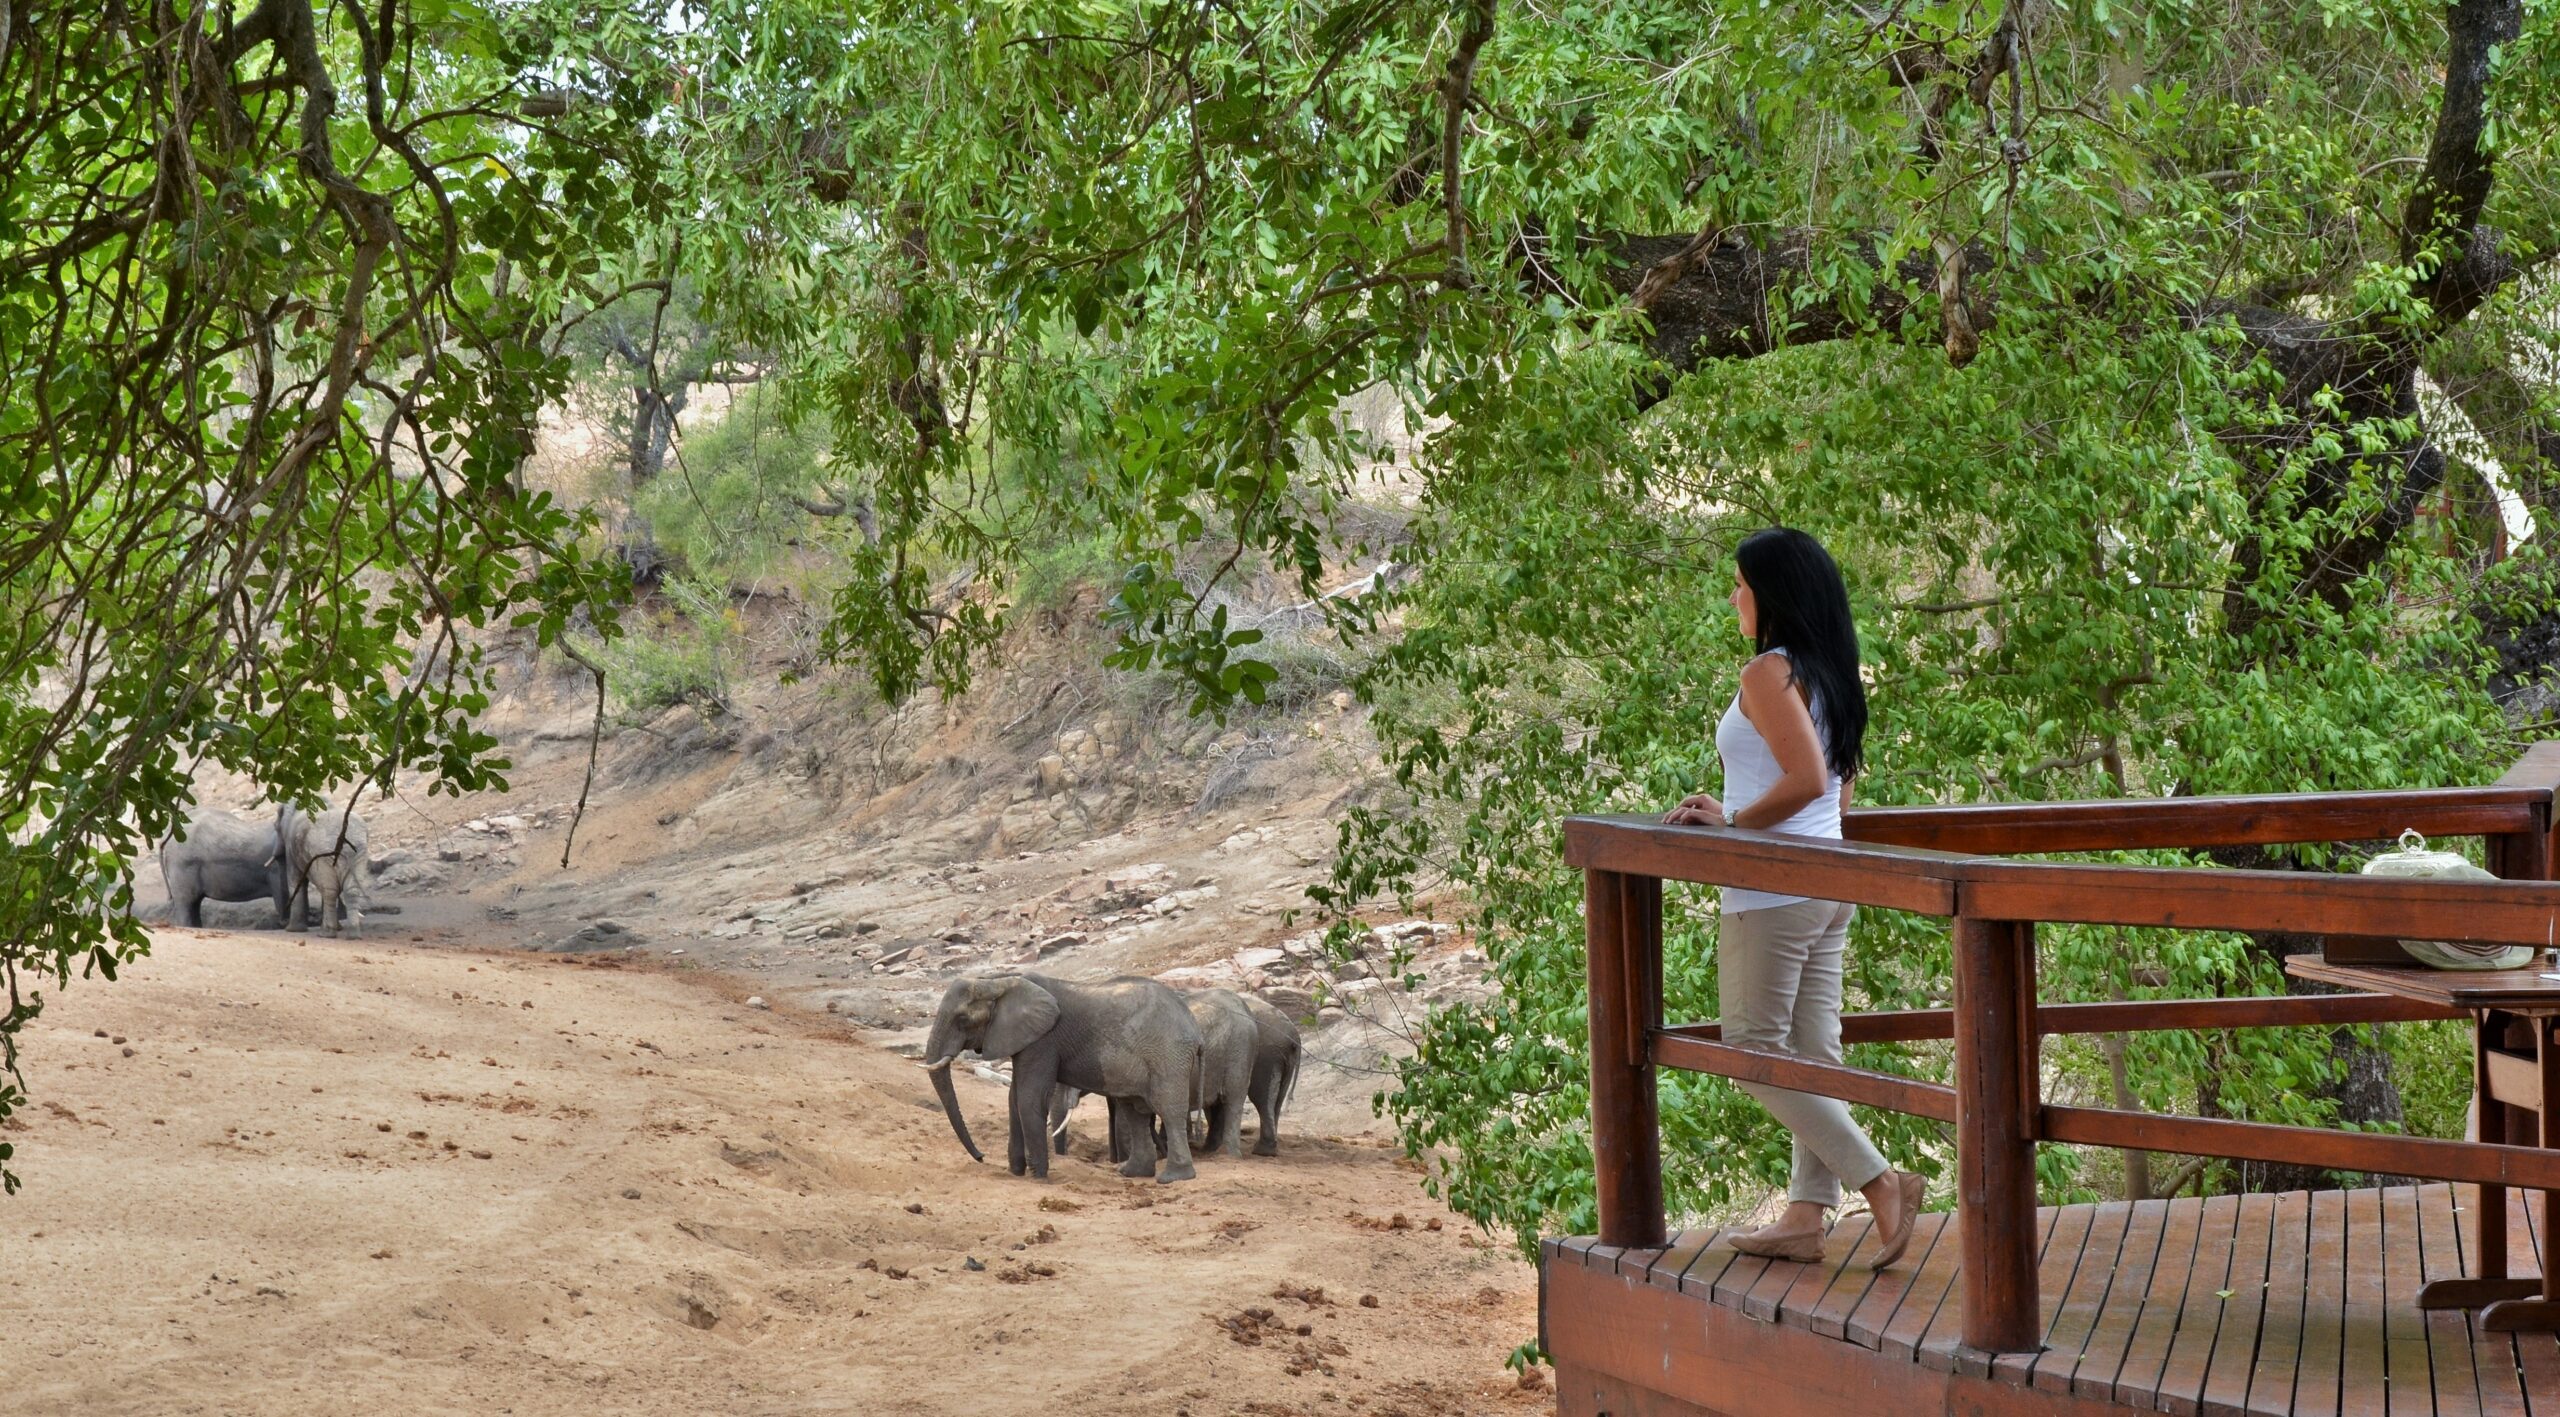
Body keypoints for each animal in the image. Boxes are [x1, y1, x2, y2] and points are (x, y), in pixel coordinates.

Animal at [276, 798, 371, 931]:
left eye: (276, 828)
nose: (282, 924)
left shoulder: (290, 845)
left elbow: (295, 880)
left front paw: (292, 930)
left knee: (330, 890)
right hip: (357, 853)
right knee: (346, 889)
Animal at [926, 971, 1203, 1181]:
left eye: (962, 1019)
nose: (981, 1157)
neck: (999, 982)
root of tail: (1193, 1025)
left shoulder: (1044, 1040)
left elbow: (1029, 1098)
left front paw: (1038, 1176)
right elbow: (1014, 1099)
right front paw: (1015, 1172)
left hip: (1168, 1054)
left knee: (1168, 1109)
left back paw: (1173, 1178)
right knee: (1135, 1111)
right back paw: (1132, 1173)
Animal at [1233, 987, 1300, 1150]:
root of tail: (1295, 1035)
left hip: (1267, 1053)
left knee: (1261, 1096)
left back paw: (1262, 1150)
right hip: (1284, 1058)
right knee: (1278, 1098)